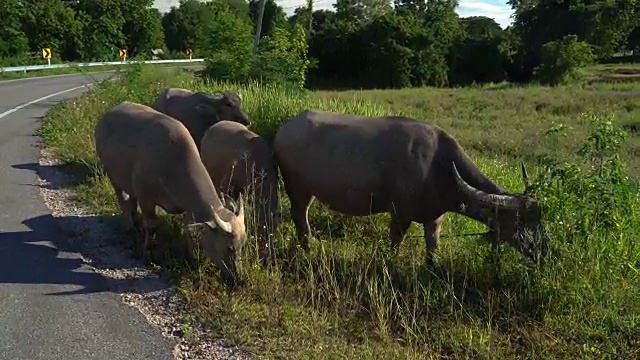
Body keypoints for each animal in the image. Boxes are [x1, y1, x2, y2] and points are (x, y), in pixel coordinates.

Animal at [95, 100, 248, 284]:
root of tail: (108, 115)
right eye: (230, 247)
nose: (238, 278)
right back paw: (130, 226)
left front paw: (192, 258)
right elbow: (152, 226)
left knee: (131, 201)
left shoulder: (189, 208)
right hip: (112, 174)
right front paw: (148, 251)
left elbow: (189, 231)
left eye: (243, 245)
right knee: (123, 200)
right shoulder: (147, 198)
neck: (173, 163)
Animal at [272, 109, 548, 264]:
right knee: (300, 216)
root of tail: (284, 130)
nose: (543, 251)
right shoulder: (400, 214)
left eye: (540, 219)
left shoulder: (435, 219)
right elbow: (395, 243)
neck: (438, 165)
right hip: (298, 189)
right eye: (520, 222)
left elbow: (433, 248)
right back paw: (308, 247)